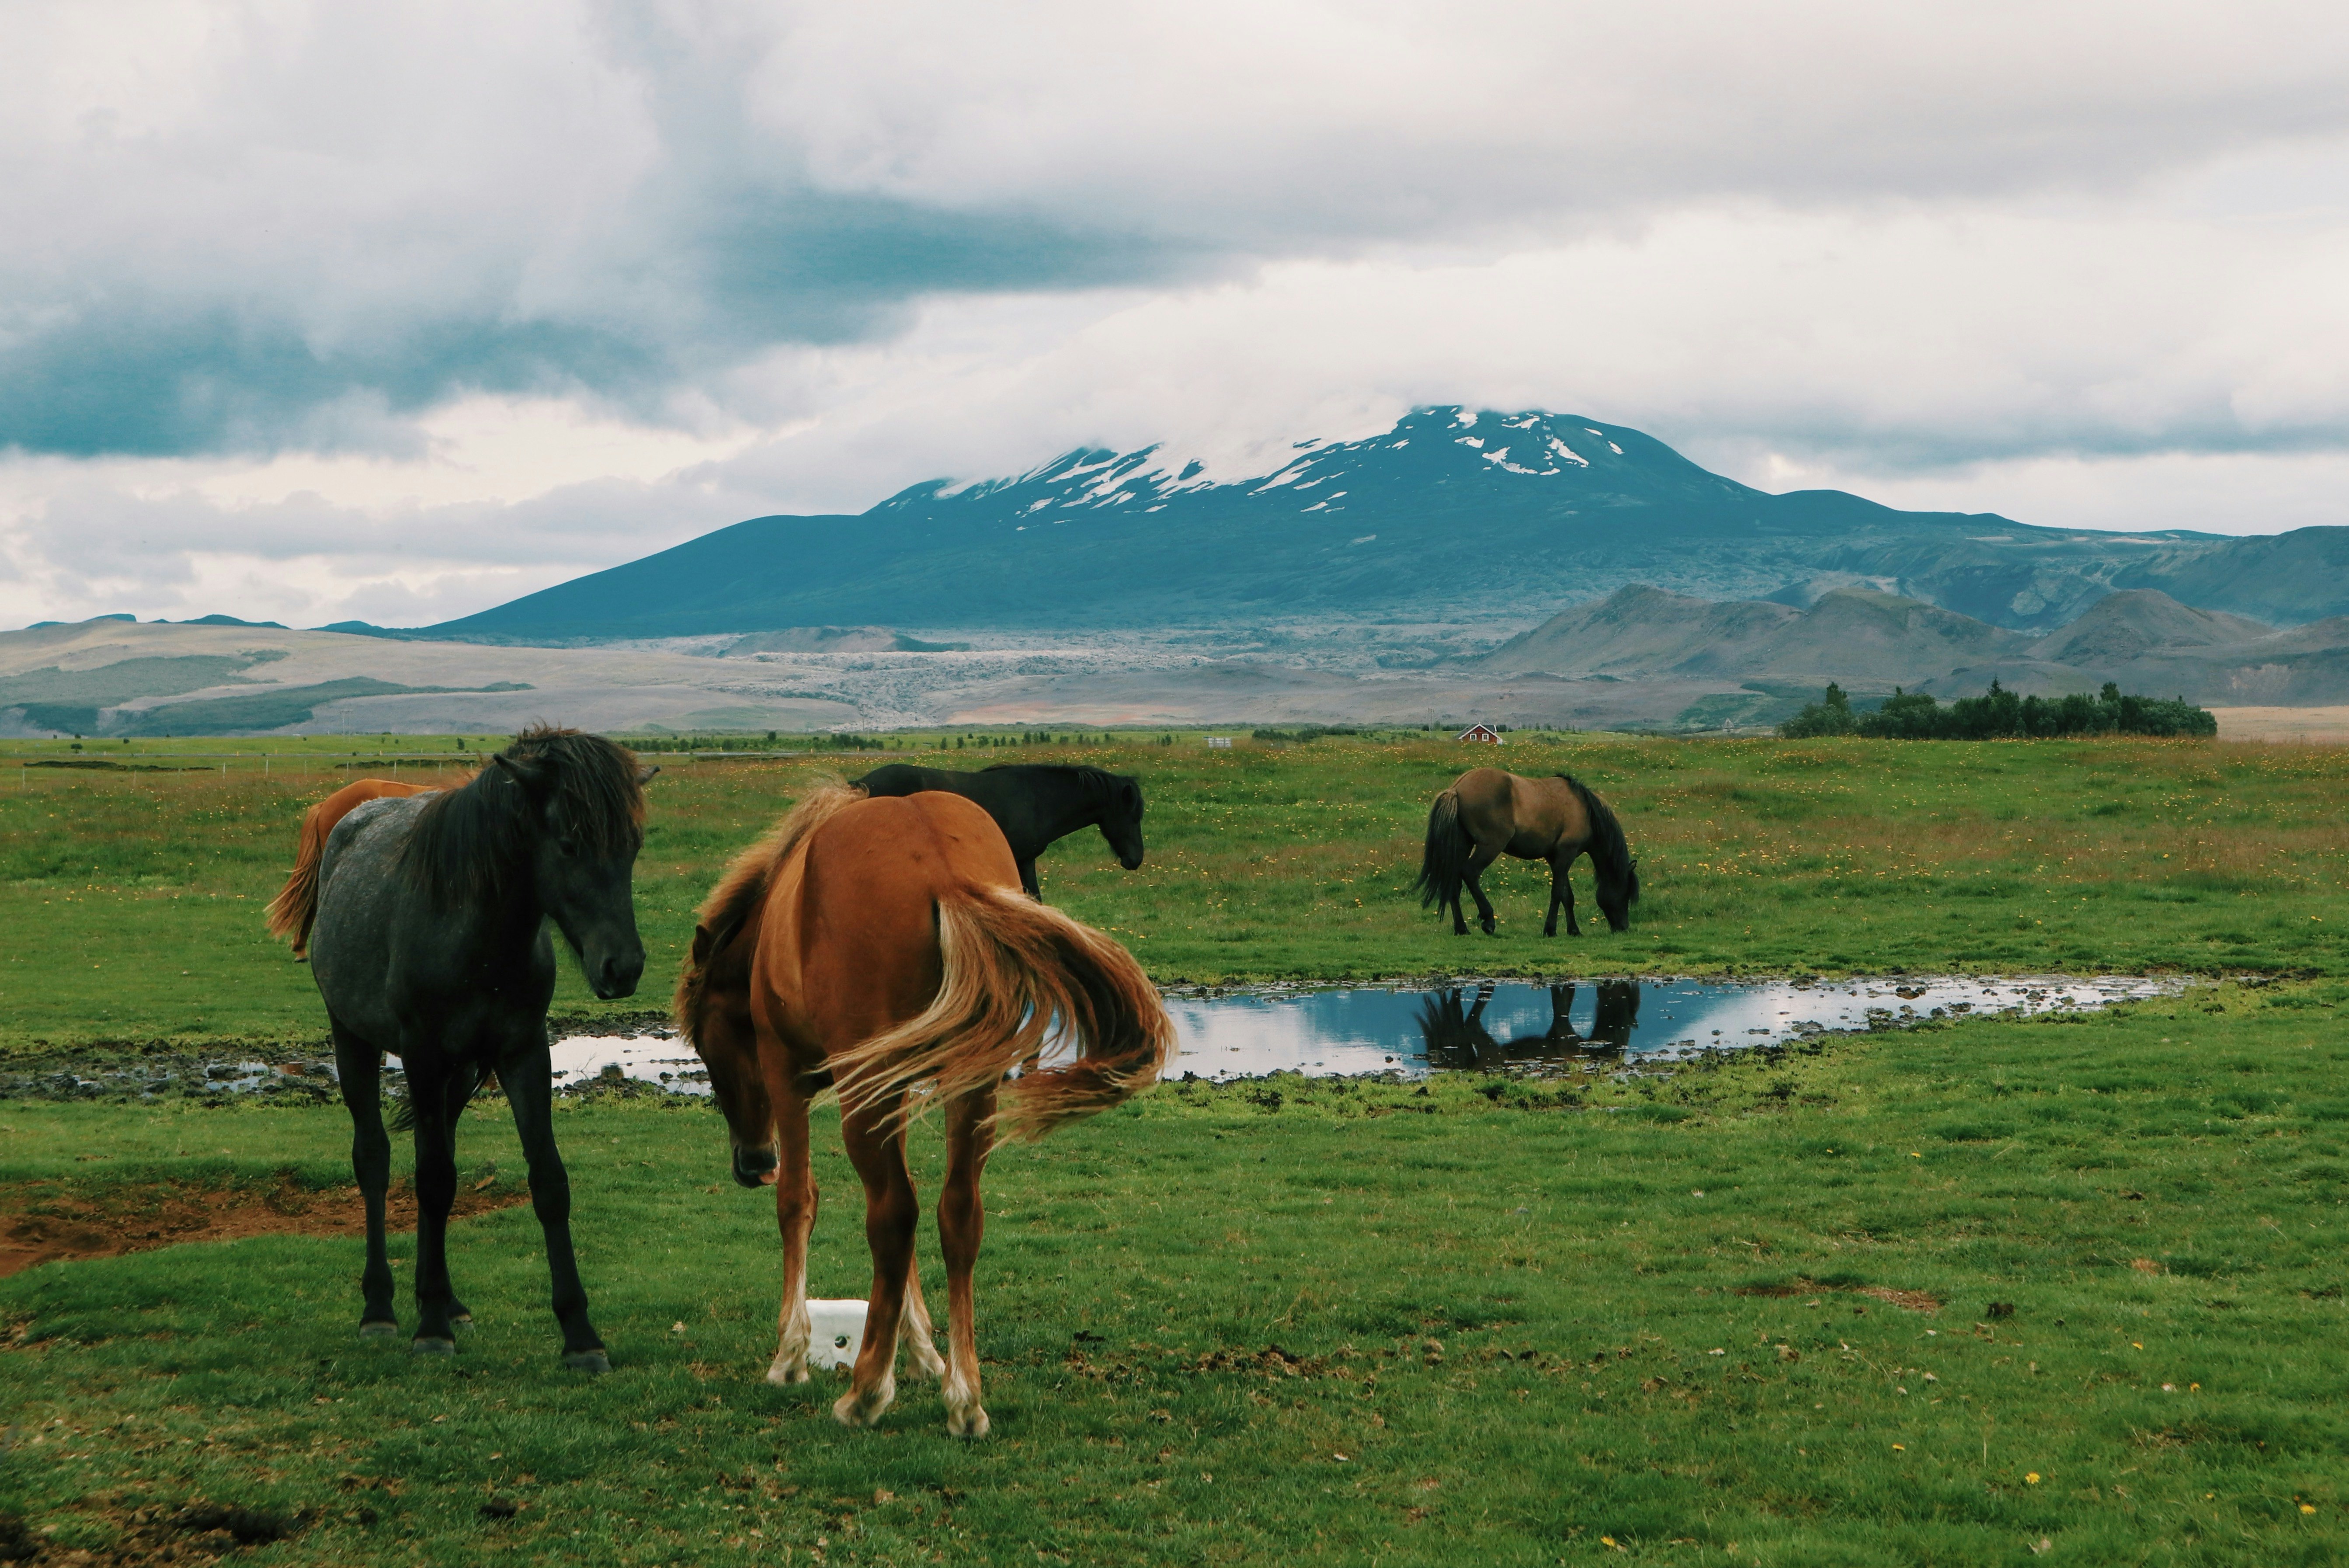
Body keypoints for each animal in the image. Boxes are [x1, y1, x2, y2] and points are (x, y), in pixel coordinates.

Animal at [300, 729, 662, 1363]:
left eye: (633, 846)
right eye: (568, 844)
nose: (622, 967)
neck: (476, 933)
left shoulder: (522, 1053)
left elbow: (546, 1180)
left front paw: (579, 1334)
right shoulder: (421, 1053)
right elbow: (432, 1180)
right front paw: (429, 1327)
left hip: (458, 1073)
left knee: (434, 1150)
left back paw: (446, 1300)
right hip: (356, 1041)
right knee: (376, 1159)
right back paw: (383, 1308)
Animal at [676, 789, 1170, 1439]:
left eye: (707, 1047)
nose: (751, 1162)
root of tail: (945, 874)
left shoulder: (788, 1077)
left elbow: (798, 1201)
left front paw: (791, 1355)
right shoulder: (901, 1085)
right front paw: (921, 1353)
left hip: (865, 1094)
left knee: (893, 1214)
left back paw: (864, 1394)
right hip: (972, 1090)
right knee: (956, 1213)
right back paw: (964, 1396)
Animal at [1409, 771, 1635, 940]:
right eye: (1625, 894)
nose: (1624, 928)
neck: (1584, 809)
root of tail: (1457, 788)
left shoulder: (1555, 859)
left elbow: (1567, 896)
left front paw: (1574, 930)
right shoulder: (1566, 855)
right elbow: (1557, 894)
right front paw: (1550, 929)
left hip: (1463, 845)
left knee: (1454, 883)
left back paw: (1462, 929)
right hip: (1490, 846)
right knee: (1470, 873)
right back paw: (1488, 920)